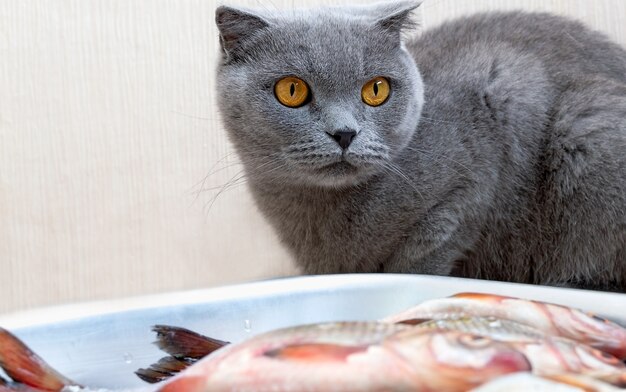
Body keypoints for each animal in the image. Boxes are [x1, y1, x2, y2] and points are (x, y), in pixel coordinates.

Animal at [213, 0, 624, 290]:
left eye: (376, 89)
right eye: (292, 90)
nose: (344, 133)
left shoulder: (498, 104)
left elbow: (426, 253)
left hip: (586, 129)